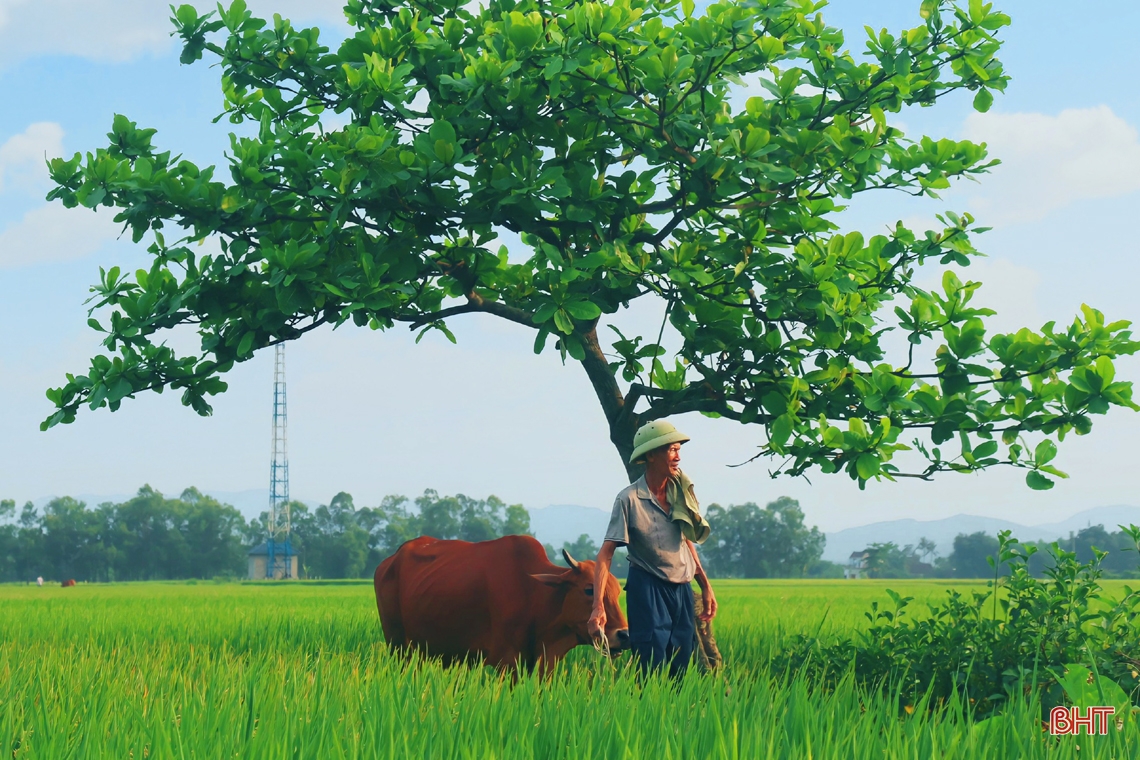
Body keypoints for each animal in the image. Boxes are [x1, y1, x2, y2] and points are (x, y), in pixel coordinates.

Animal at [373, 535, 629, 669]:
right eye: (589, 590)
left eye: (618, 592)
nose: (624, 635)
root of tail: (389, 560)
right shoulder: (508, 661)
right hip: (398, 645)